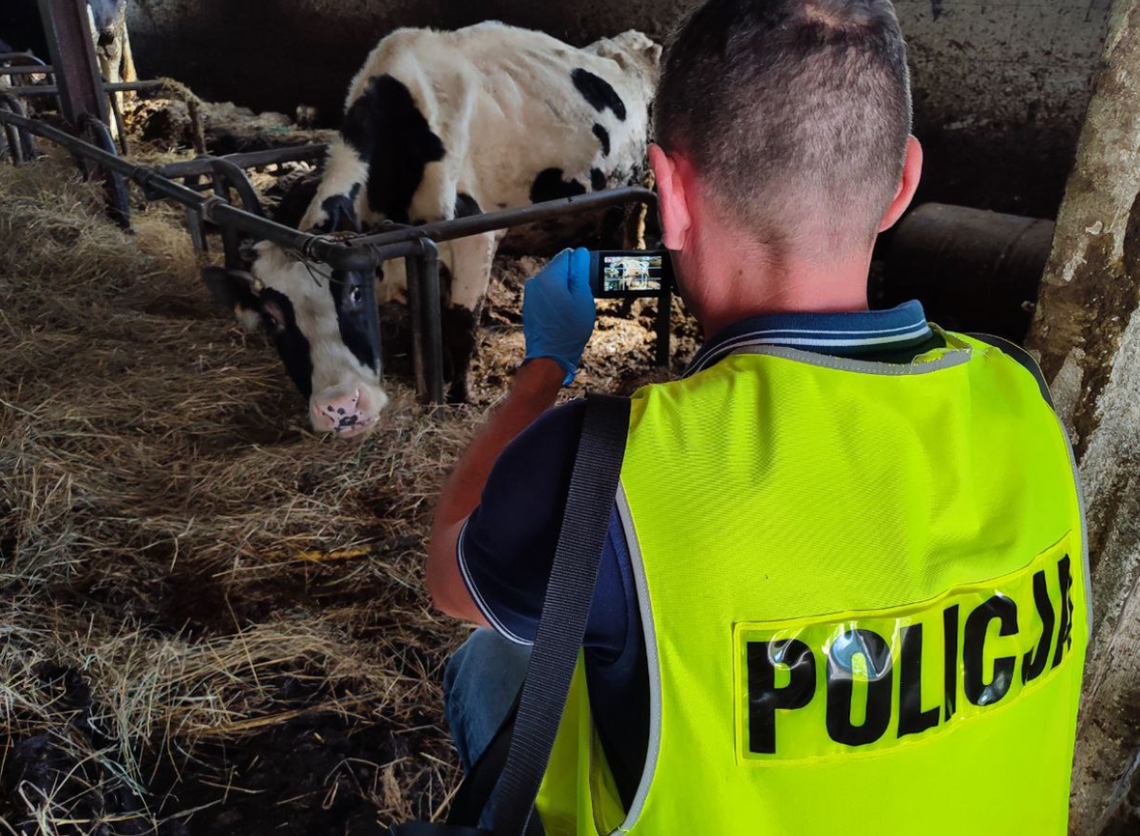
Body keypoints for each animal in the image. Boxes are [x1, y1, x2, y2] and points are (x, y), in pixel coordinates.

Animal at [205, 21, 661, 437]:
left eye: (354, 292)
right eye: (272, 317)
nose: (341, 407)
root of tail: (636, 39)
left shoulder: (476, 235)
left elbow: (459, 324)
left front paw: (459, 397)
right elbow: (430, 320)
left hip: (646, 174)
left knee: (636, 223)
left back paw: (630, 303)